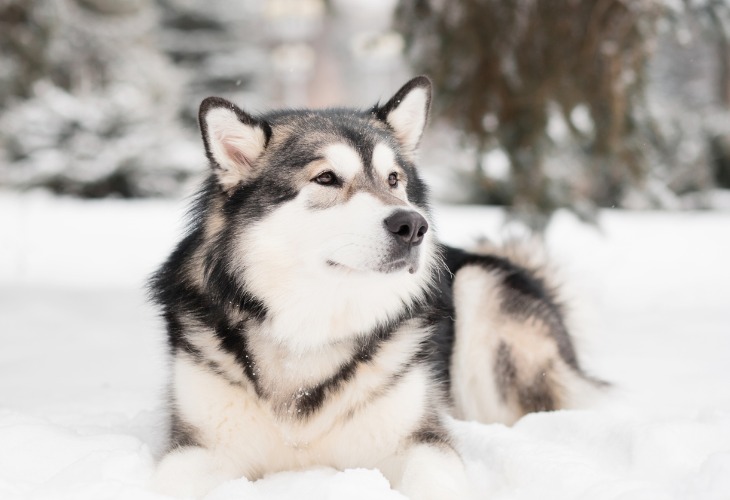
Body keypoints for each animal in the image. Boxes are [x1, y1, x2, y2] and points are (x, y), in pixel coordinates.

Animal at [148, 76, 596, 498]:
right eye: (326, 178)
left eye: (394, 179)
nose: (413, 226)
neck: (310, 331)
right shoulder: (200, 447)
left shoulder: (420, 440)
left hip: (480, 288)